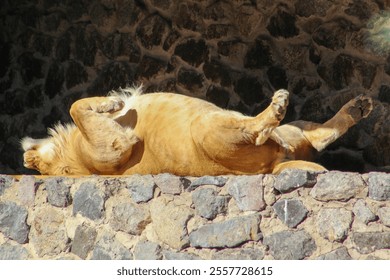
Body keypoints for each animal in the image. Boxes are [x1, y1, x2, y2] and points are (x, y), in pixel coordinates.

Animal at [20, 86, 372, 176]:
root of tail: (275, 165)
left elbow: (76, 106)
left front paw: (115, 100)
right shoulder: (113, 149)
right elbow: (75, 107)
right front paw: (114, 101)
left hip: (291, 132)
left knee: (320, 133)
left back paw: (358, 106)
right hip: (204, 127)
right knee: (259, 126)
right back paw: (276, 105)